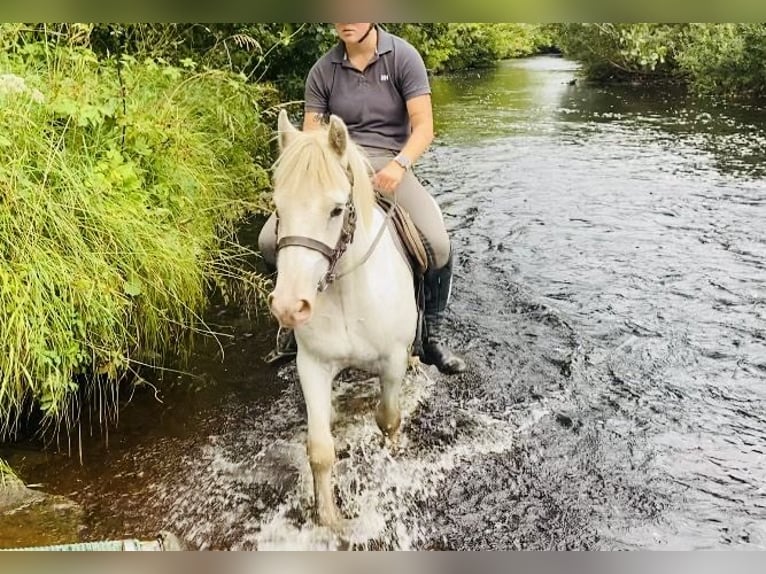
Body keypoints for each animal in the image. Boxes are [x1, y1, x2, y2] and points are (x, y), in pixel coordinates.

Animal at [268, 110, 416, 528]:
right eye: (278, 208)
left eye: (336, 209)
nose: (289, 306)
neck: (347, 293)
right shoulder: (313, 365)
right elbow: (319, 449)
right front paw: (329, 520)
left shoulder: (393, 363)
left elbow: (389, 420)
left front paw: (391, 466)